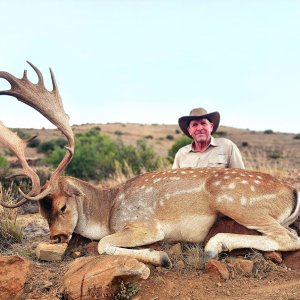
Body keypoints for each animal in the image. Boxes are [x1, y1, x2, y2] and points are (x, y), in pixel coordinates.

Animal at [0, 62, 300, 268]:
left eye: (63, 207)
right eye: (42, 212)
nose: (57, 237)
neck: (107, 210)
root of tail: (292, 192)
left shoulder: (146, 225)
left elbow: (104, 243)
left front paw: (161, 257)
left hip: (238, 202)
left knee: (289, 237)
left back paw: (214, 246)